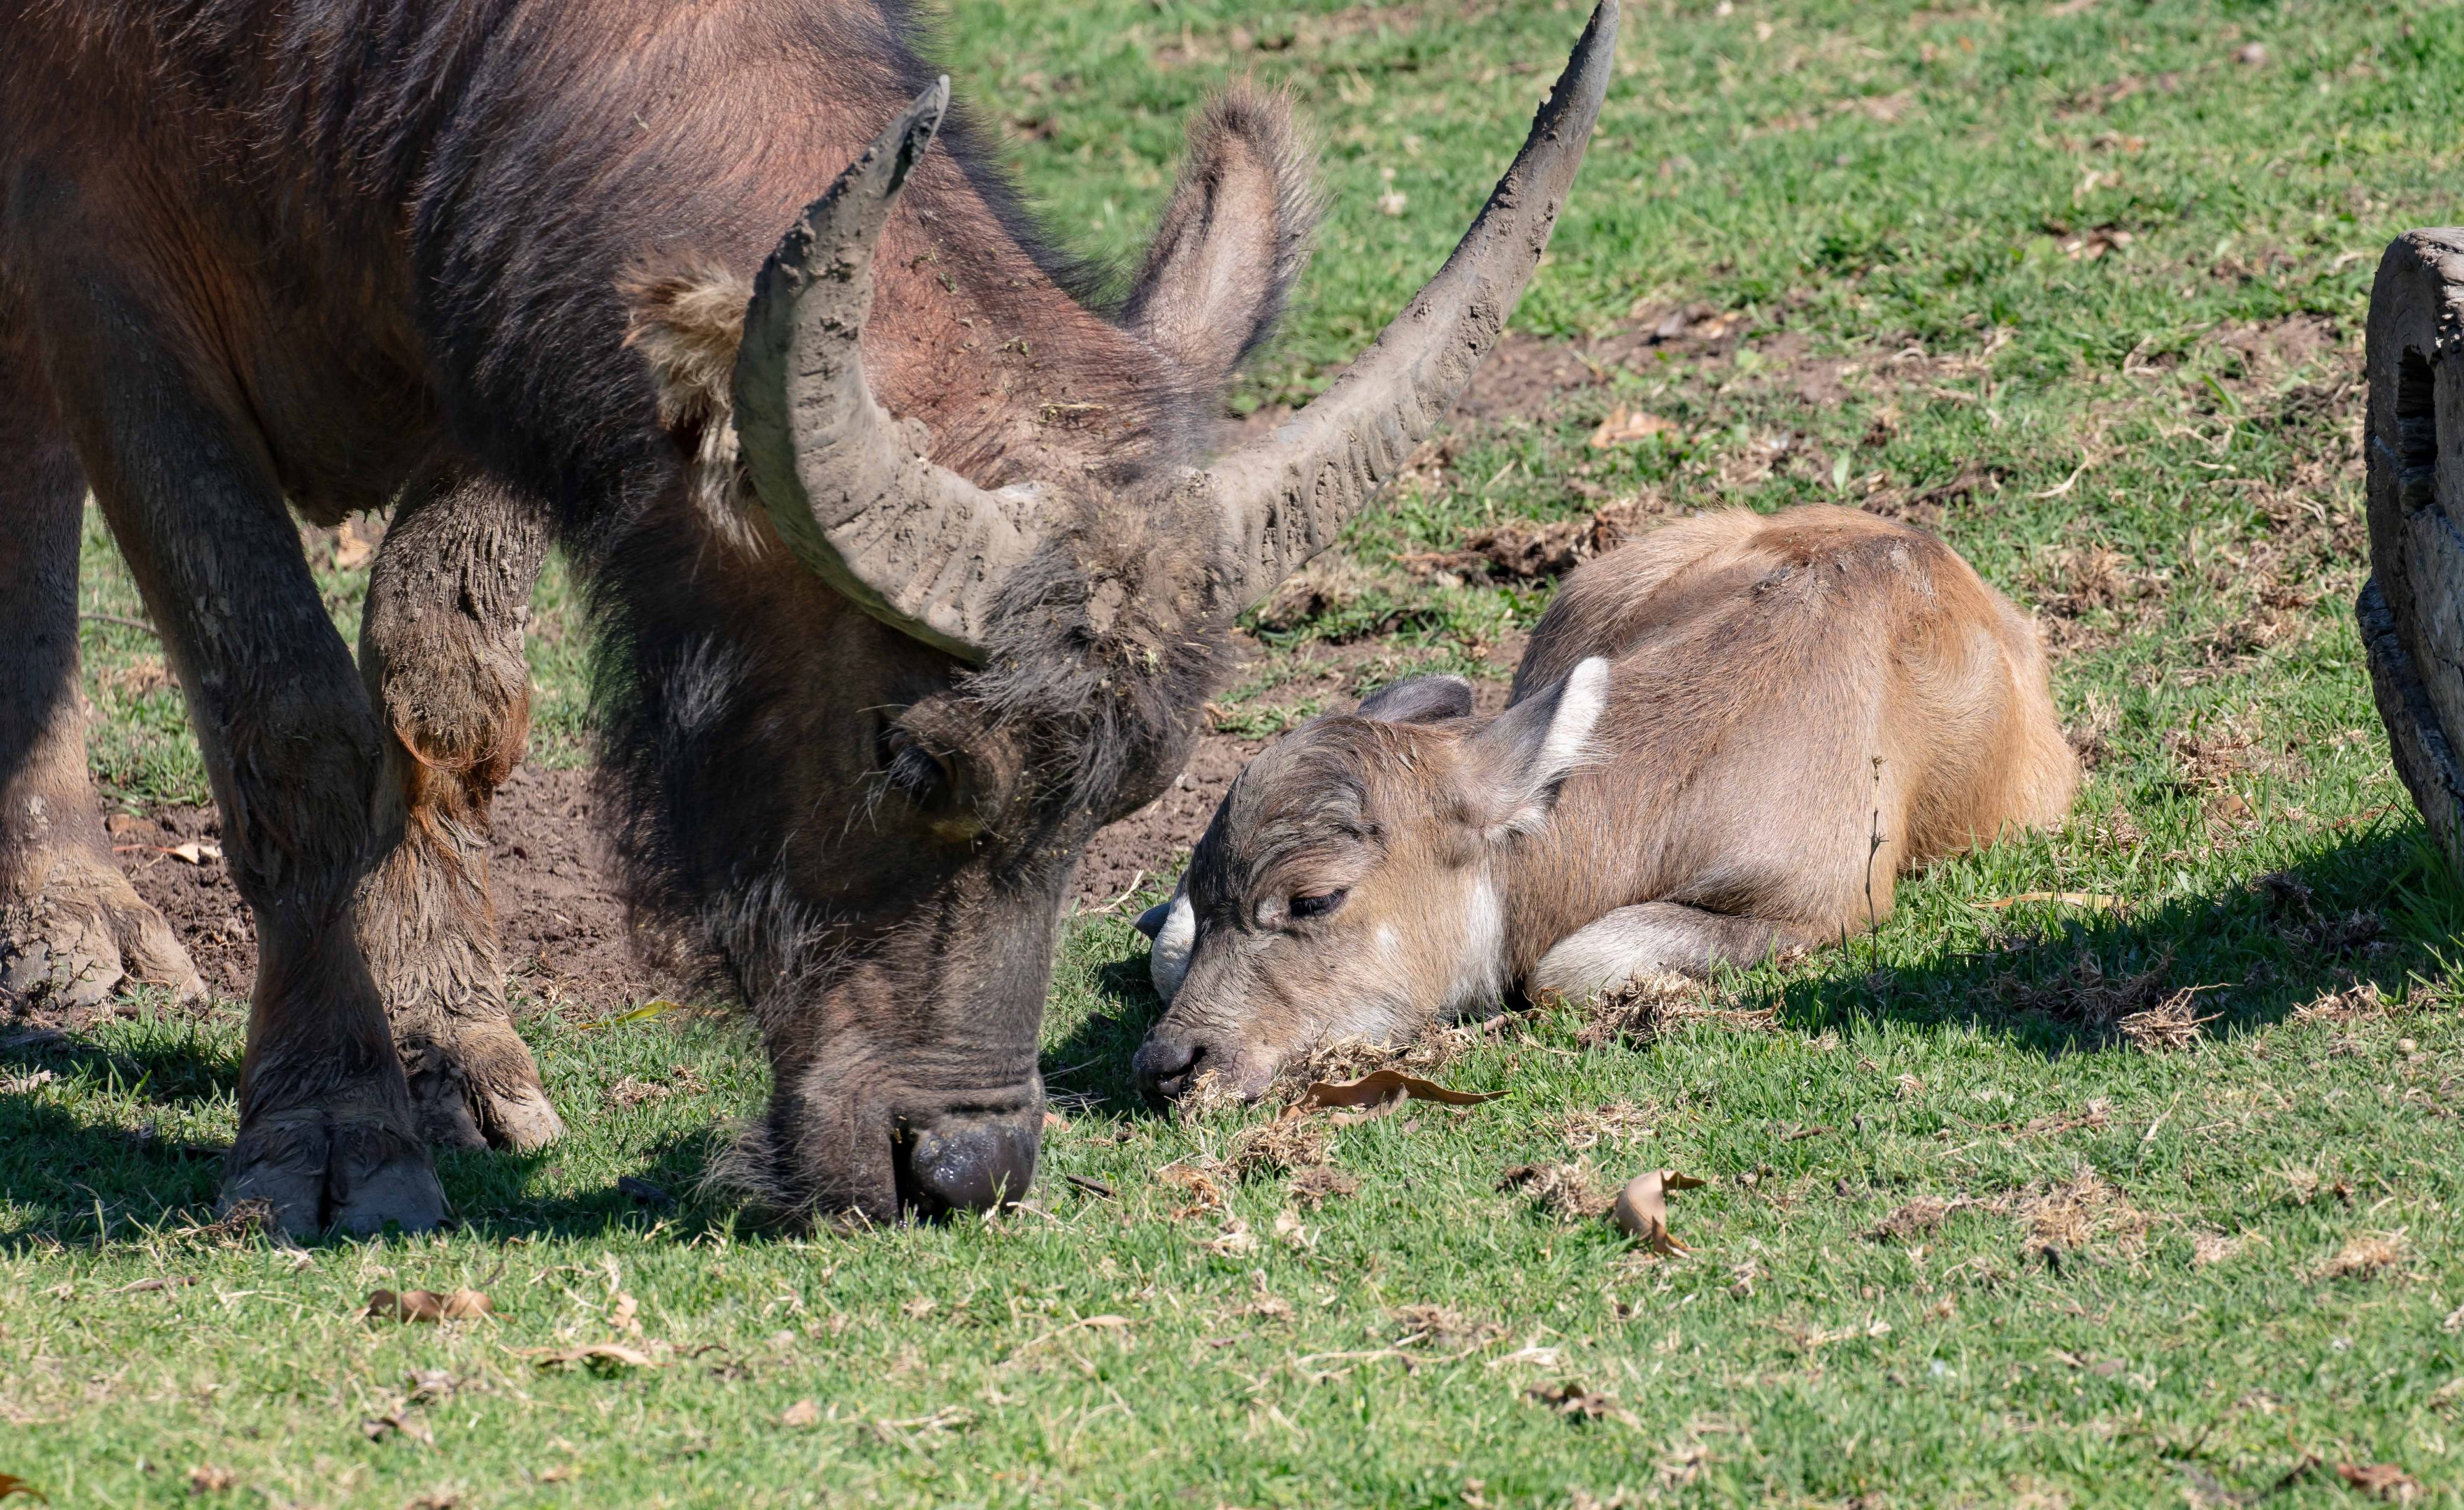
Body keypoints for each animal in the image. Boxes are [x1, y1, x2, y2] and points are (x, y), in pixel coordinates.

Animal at [0, 0, 1620, 1231]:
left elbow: (438, 674)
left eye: (1133, 793)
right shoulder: (99, 278)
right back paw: (72, 915)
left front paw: (446, 1045)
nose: (960, 1166)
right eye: (909, 757)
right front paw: (335, 1127)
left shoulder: (488, 318)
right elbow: (289, 717)